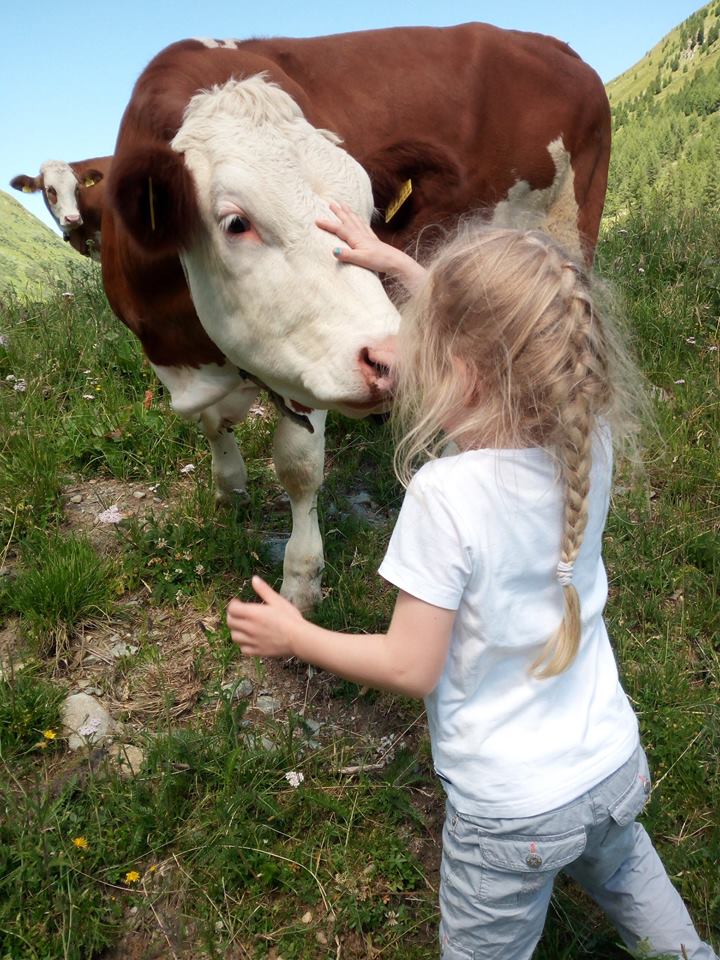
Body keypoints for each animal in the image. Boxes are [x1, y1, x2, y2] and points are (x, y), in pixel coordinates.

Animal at [104, 23, 611, 611]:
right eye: (235, 223)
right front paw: (229, 488)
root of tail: (555, 46)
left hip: (572, 226)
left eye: (369, 213)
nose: (394, 359)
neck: (195, 350)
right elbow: (213, 426)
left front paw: (300, 580)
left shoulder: (310, 370)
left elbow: (298, 464)